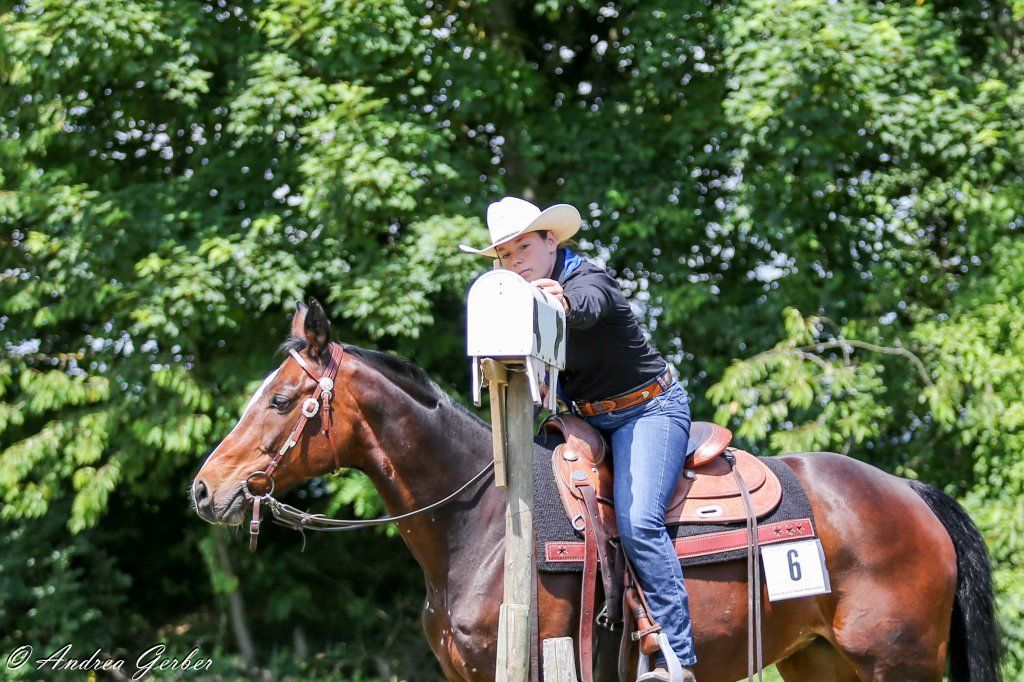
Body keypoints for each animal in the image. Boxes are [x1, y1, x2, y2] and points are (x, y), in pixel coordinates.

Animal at [192, 300, 1001, 681]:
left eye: (280, 400)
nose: (205, 489)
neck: (479, 524)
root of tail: (909, 493)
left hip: (898, 663)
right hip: (820, 662)